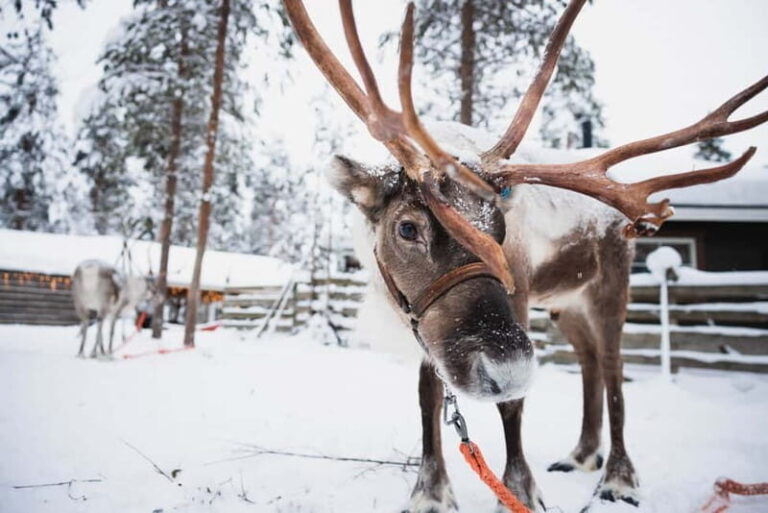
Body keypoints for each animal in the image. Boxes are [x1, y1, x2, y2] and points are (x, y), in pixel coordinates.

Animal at [283, 0, 768, 510]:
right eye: (408, 227)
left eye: (500, 229)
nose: (509, 368)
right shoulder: (423, 321)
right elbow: (427, 395)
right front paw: (430, 491)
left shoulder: (513, 301)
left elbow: (512, 405)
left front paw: (518, 489)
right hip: (564, 304)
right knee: (589, 361)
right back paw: (581, 454)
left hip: (609, 287)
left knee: (613, 368)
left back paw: (618, 478)